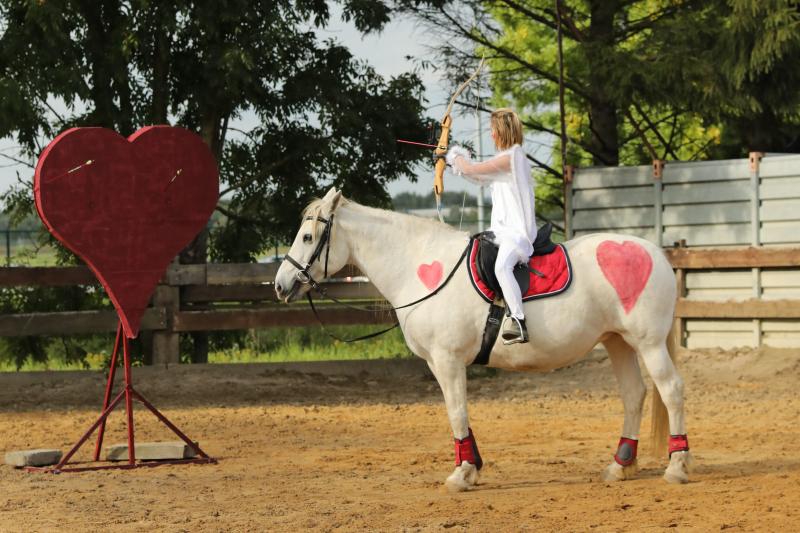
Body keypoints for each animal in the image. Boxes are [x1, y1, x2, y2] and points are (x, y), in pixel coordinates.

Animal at [274, 187, 688, 490]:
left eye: (307, 236)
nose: (281, 284)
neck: (422, 267)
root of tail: (653, 252)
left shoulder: (447, 360)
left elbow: (456, 411)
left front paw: (462, 473)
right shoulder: (440, 363)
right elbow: (457, 413)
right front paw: (471, 467)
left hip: (648, 343)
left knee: (670, 390)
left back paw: (677, 465)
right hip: (617, 340)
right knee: (634, 394)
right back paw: (620, 465)